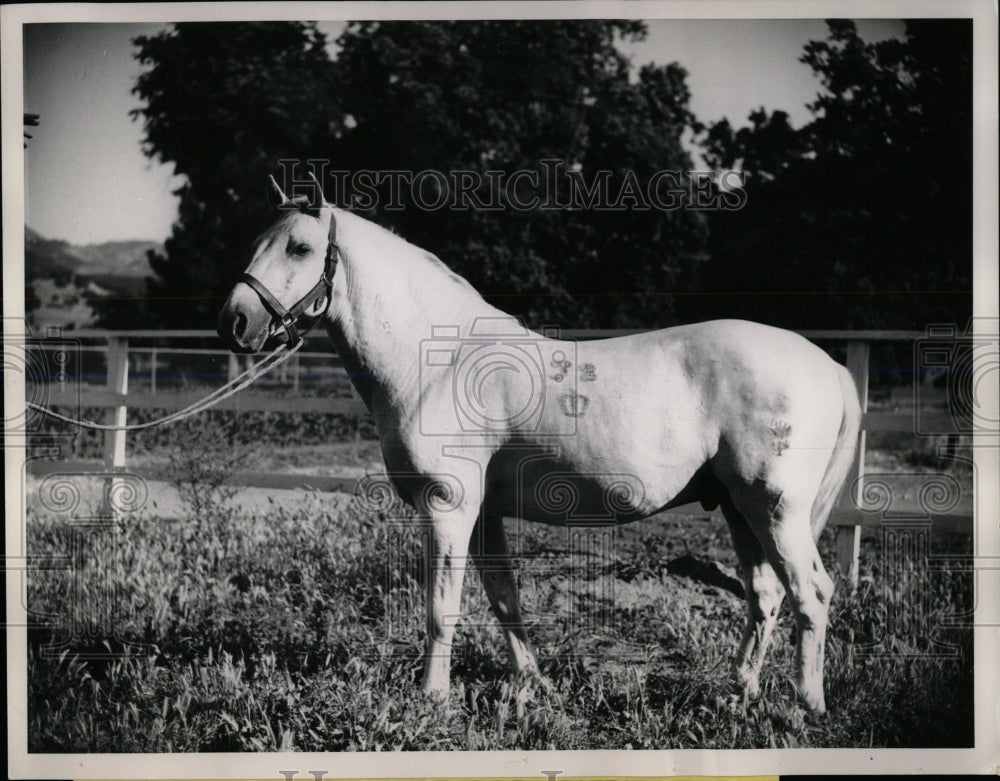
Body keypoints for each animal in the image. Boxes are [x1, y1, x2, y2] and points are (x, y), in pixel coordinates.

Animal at [219, 180, 860, 716]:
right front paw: (531, 683)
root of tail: (829, 366)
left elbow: (441, 607)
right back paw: (739, 691)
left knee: (811, 593)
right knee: (765, 595)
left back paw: (806, 704)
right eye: (255, 243)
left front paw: (431, 697)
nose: (236, 323)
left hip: (774, 510)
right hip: (736, 507)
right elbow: (504, 598)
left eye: (300, 248)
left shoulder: (447, 506)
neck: (437, 362)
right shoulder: (482, 513)